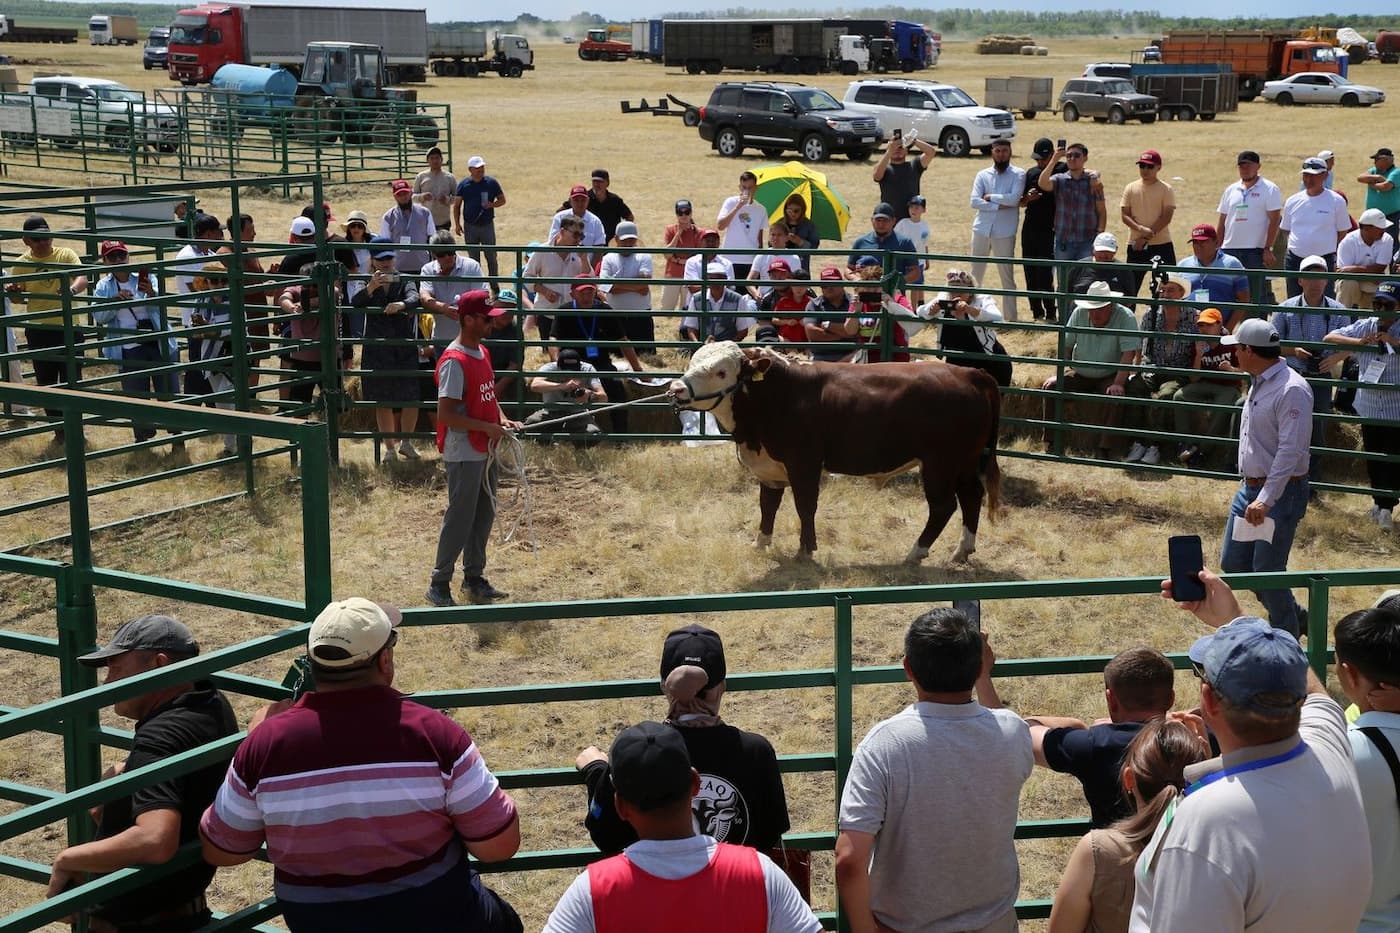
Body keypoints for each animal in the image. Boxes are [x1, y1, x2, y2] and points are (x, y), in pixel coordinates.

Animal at [672, 340, 1002, 560]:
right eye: (694, 362)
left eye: (721, 372)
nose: (676, 389)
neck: (778, 394)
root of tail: (970, 373)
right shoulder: (770, 469)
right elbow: (768, 505)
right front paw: (761, 543)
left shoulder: (804, 464)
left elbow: (805, 506)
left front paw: (806, 550)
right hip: (964, 462)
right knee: (972, 496)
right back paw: (962, 549)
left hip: (939, 464)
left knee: (943, 506)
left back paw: (916, 552)